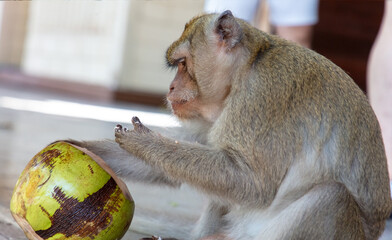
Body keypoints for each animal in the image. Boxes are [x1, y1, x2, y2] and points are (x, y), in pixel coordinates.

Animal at [63, 11, 392, 240]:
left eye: (182, 64)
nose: (171, 88)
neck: (248, 66)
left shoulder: (263, 95)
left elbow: (252, 183)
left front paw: (145, 142)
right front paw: (80, 147)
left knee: (331, 197)